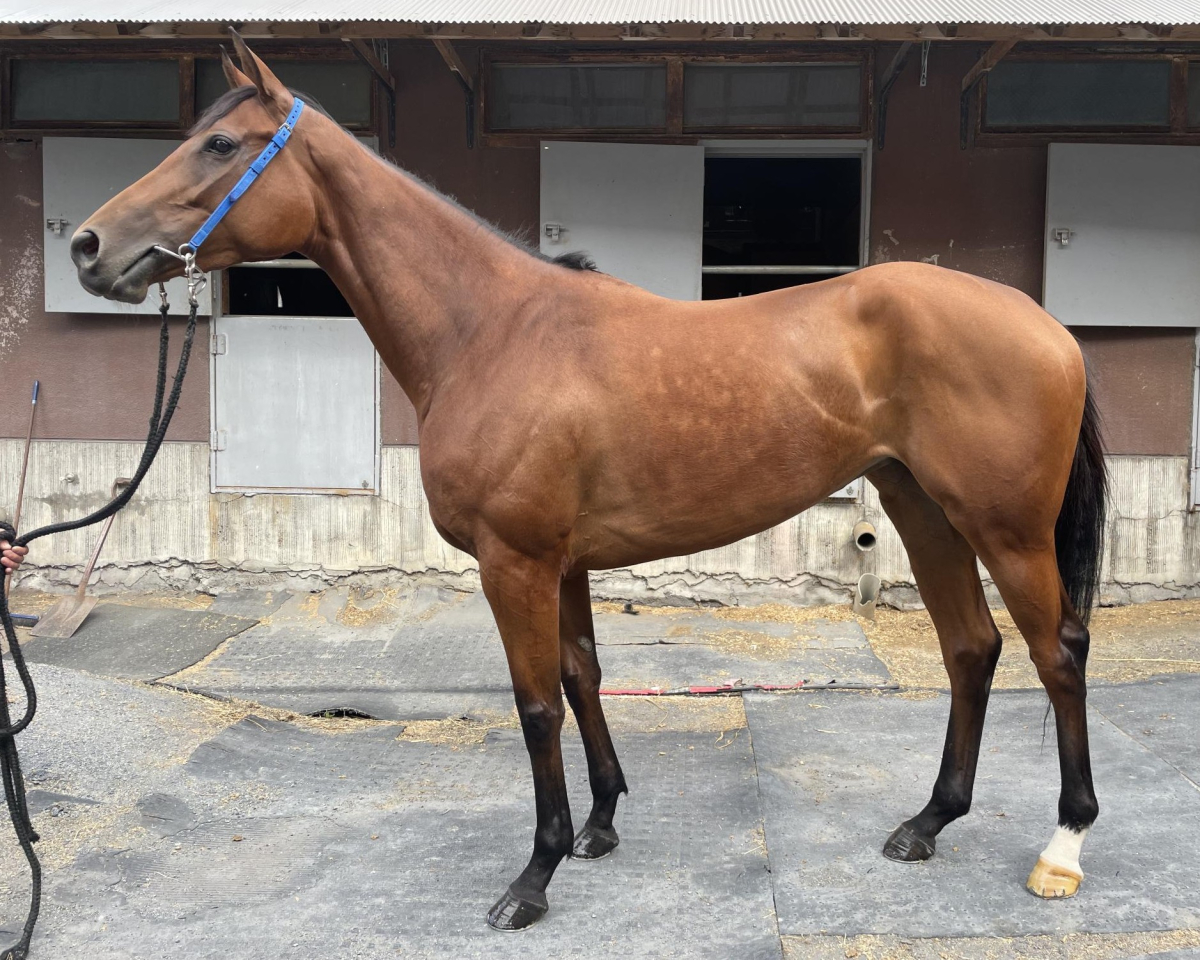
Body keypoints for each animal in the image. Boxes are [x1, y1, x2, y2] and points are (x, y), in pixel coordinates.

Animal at [69, 32, 1107, 931]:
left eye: (219, 144)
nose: (86, 246)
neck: (489, 331)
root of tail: (1046, 325)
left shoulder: (515, 561)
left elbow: (534, 705)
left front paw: (534, 875)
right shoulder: (560, 563)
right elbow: (581, 676)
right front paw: (601, 826)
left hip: (1006, 530)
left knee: (1056, 653)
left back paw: (1062, 847)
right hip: (924, 510)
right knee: (971, 650)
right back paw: (927, 823)